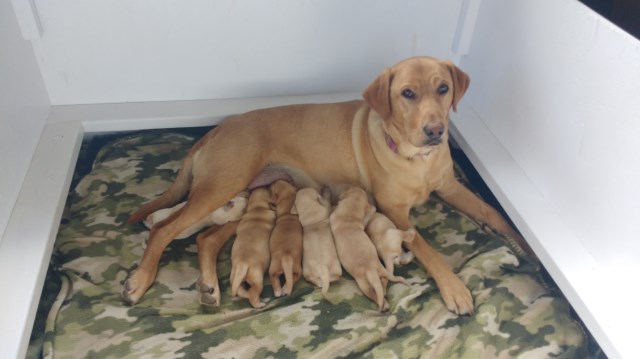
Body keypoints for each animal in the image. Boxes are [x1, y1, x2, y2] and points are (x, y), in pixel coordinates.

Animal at [126, 55, 528, 316]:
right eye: (407, 94)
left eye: (443, 88)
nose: (435, 131)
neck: (416, 158)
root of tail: (215, 130)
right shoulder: (395, 212)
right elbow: (429, 251)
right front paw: (455, 288)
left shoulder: (451, 187)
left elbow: (494, 212)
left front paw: (524, 244)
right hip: (222, 185)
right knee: (163, 229)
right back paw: (141, 279)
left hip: (241, 199)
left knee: (206, 239)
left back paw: (210, 285)